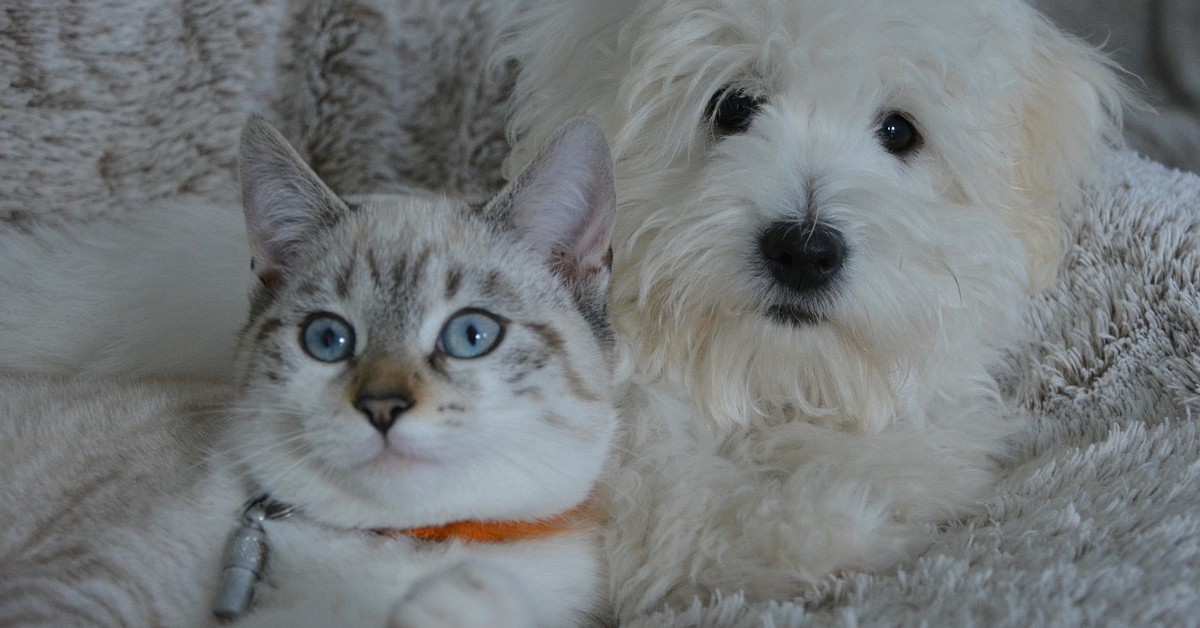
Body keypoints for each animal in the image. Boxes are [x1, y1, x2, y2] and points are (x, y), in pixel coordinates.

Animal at [0, 114, 619, 628]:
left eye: (471, 335)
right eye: (327, 339)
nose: (382, 407)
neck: (404, 546)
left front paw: (458, 598)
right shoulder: (71, 597)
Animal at [492, 0, 1128, 619]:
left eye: (899, 131)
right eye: (734, 107)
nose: (803, 252)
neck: (772, 378)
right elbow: (687, 520)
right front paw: (839, 529)